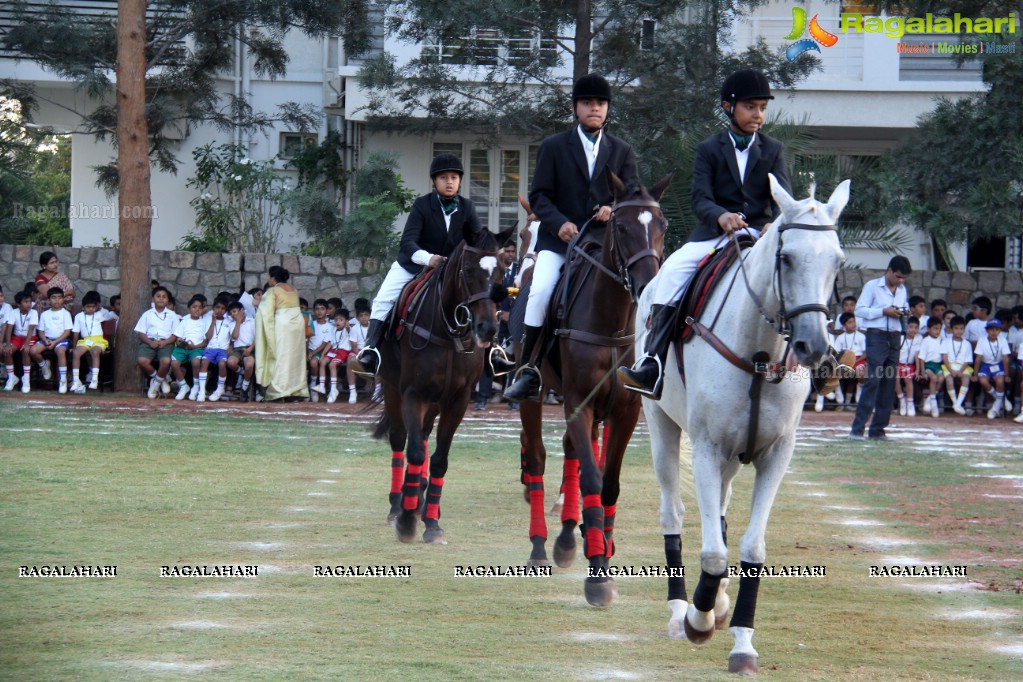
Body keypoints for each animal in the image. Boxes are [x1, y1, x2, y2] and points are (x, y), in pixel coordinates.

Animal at [374, 222, 515, 543]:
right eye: (468, 271)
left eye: (501, 271)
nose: (488, 328)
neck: (449, 331)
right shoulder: (412, 393)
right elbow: (414, 452)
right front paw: (407, 521)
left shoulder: (456, 400)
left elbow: (438, 459)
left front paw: (432, 522)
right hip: (393, 389)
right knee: (400, 441)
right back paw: (398, 505)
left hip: (434, 402)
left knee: (424, 437)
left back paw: (419, 500)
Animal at [519, 169, 671, 601]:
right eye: (621, 227)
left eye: (663, 226)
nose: (648, 284)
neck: (611, 323)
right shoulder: (578, 402)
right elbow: (591, 475)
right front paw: (598, 573)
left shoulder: (624, 411)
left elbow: (608, 485)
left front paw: (600, 546)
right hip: (535, 395)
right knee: (538, 457)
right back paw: (541, 544)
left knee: (573, 451)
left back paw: (573, 535)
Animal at [638, 173, 847, 674]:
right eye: (786, 258)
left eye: (838, 261)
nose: (814, 348)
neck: (759, 352)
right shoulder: (707, 447)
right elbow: (714, 551)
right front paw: (697, 618)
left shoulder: (775, 455)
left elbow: (750, 547)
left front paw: (742, 641)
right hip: (663, 428)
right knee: (674, 511)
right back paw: (682, 609)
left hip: (733, 456)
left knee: (720, 512)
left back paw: (719, 602)